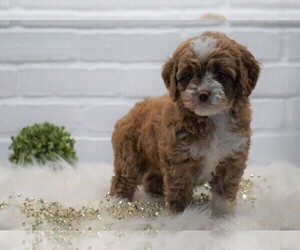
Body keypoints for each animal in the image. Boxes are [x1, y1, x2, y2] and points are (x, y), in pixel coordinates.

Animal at [110, 31, 260, 215]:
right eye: (188, 75)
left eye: (220, 74)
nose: (203, 94)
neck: (213, 118)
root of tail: (131, 111)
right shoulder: (178, 161)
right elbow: (179, 190)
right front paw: (180, 216)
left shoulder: (232, 157)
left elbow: (224, 191)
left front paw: (222, 216)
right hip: (129, 155)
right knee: (123, 177)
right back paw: (119, 202)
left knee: (152, 178)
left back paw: (156, 196)